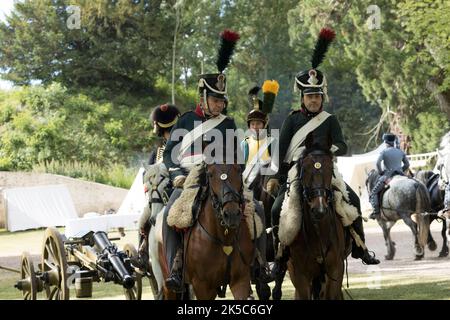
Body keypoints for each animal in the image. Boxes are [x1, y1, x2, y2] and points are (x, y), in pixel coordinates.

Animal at [182, 164, 255, 298]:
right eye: (210, 174)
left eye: (239, 170)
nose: (231, 215)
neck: (224, 239)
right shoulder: (201, 286)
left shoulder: (241, 280)